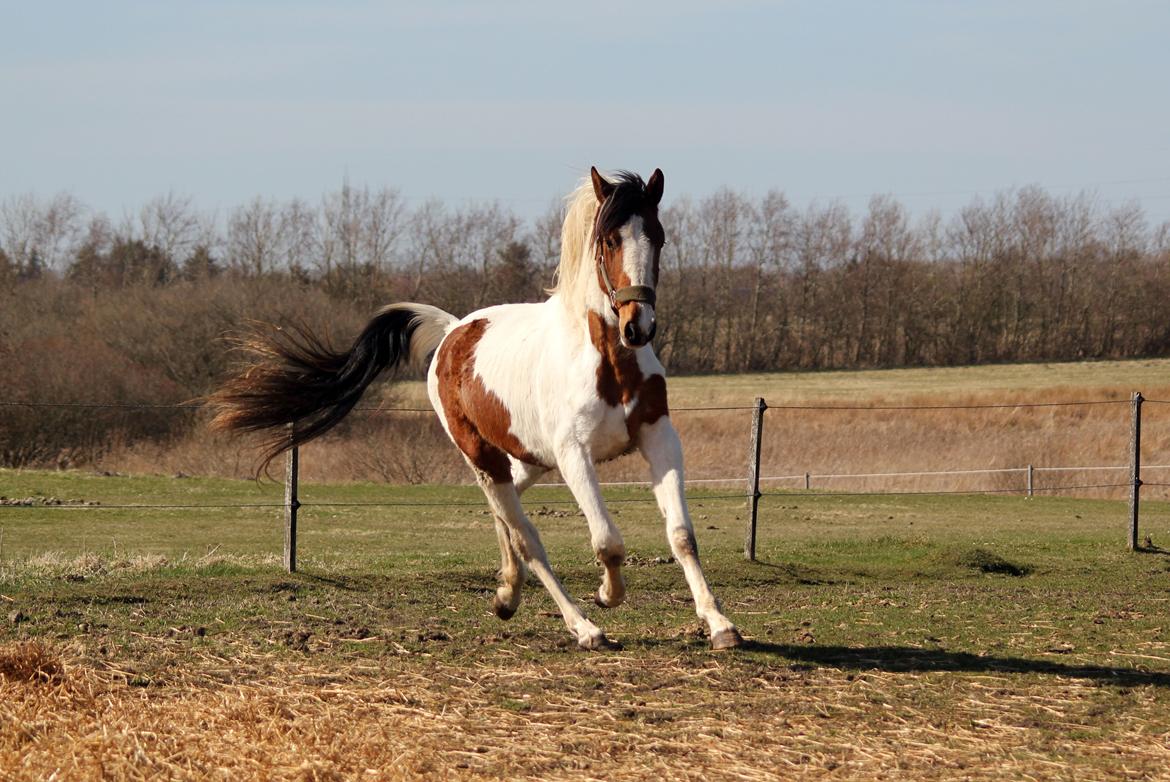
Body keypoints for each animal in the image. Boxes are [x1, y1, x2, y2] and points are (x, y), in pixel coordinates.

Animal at [209, 169, 739, 655]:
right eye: (609, 239)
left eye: (658, 236)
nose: (637, 326)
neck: (604, 359)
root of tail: (451, 332)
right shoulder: (575, 455)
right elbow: (607, 540)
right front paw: (608, 596)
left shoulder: (658, 438)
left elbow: (681, 535)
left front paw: (720, 626)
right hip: (485, 455)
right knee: (525, 535)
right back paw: (583, 627)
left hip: (527, 460)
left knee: (505, 514)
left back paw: (508, 594)